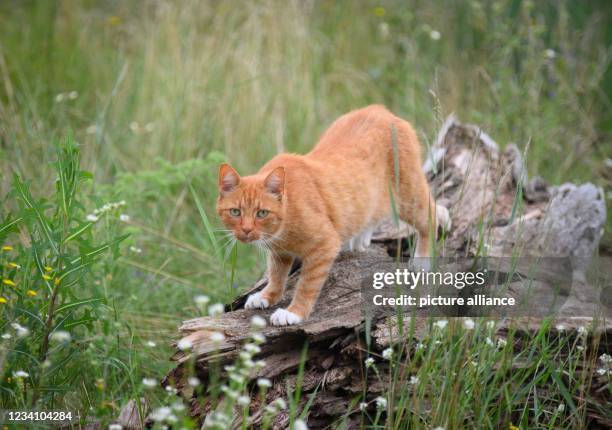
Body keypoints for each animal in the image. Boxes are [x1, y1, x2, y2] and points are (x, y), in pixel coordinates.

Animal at [218, 105, 448, 326]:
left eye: (262, 213)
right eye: (235, 212)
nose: (246, 230)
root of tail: (380, 109)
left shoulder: (325, 245)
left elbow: (306, 285)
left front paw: (294, 312)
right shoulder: (279, 252)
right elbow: (276, 276)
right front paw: (266, 296)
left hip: (407, 196)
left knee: (431, 216)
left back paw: (422, 260)